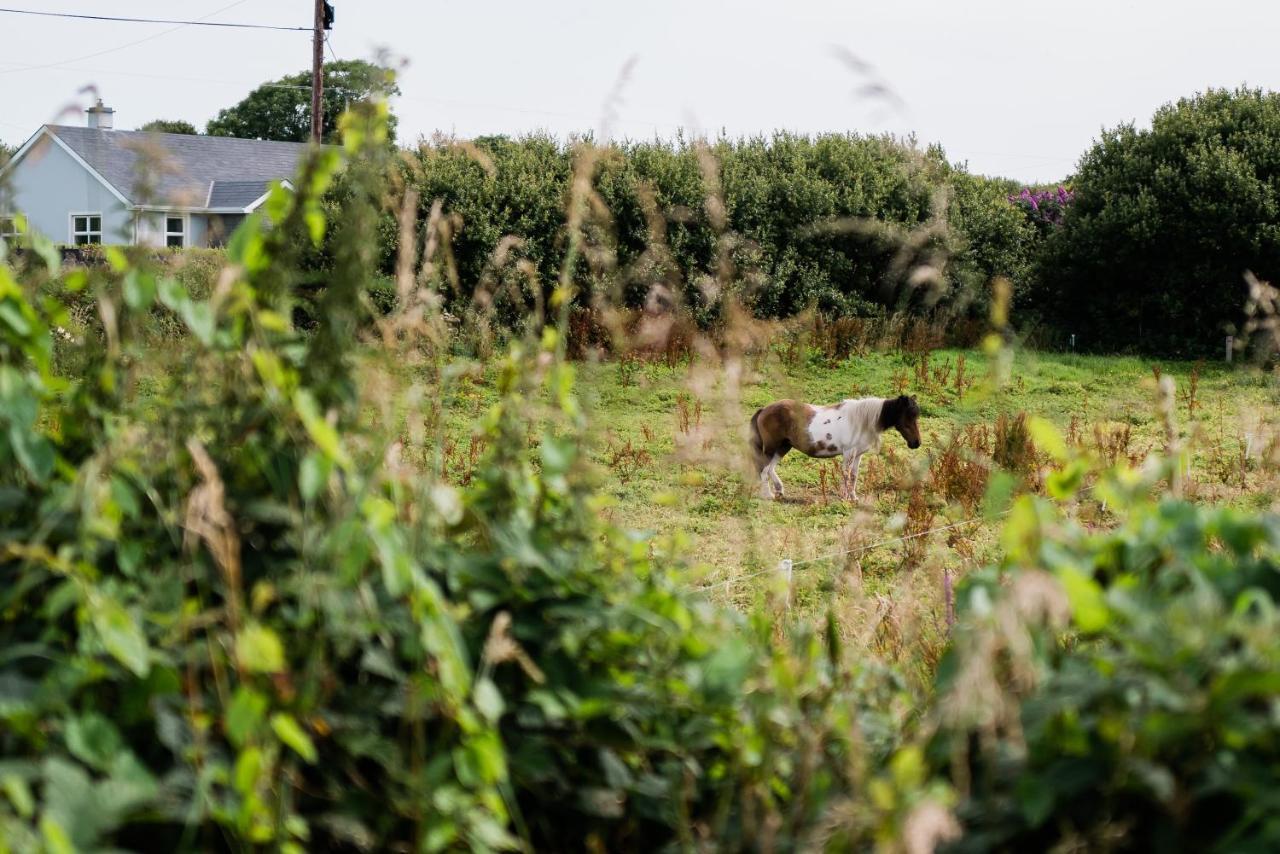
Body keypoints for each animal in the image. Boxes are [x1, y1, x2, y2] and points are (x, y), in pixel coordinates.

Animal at [747, 394, 921, 501]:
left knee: (770, 469)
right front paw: (845, 497)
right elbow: (846, 474)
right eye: (908, 416)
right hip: (771, 448)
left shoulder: (858, 454)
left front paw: (853, 497)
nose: (916, 443)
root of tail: (764, 409)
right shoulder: (849, 453)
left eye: (916, 416)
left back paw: (779, 490)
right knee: (764, 470)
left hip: (783, 447)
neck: (861, 420)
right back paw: (768, 495)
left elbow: (853, 476)